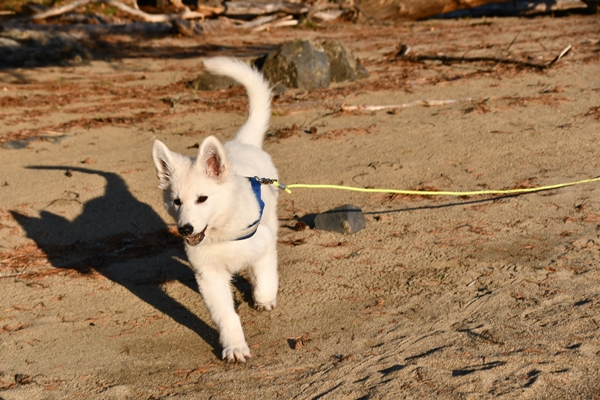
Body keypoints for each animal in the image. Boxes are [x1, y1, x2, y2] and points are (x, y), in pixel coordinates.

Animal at [152, 58, 278, 362]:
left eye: (202, 199)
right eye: (177, 201)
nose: (185, 229)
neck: (222, 232)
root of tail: (242, 143)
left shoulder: (264, 242)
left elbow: (265, 274)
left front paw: (265, 297)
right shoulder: (209, 276)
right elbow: (226, 316)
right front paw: (234, 347)